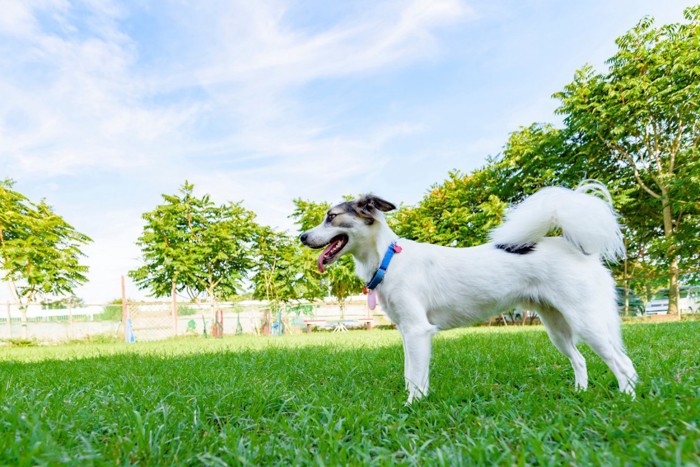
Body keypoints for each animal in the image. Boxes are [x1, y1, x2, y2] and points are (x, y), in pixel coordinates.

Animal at [298, 185, 636, 404]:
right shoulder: (408, 332)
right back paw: (580, 393)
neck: (388, 258)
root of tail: (575, 247)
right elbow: (411, 373)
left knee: (622, 362)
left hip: (586, 322)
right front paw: (416, 401)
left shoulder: (418, 331)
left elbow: (415, 377)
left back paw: (627, 398)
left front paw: (412, 406)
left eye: (331, 217)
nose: (301, 236)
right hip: (557, 327)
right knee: (580, 360)